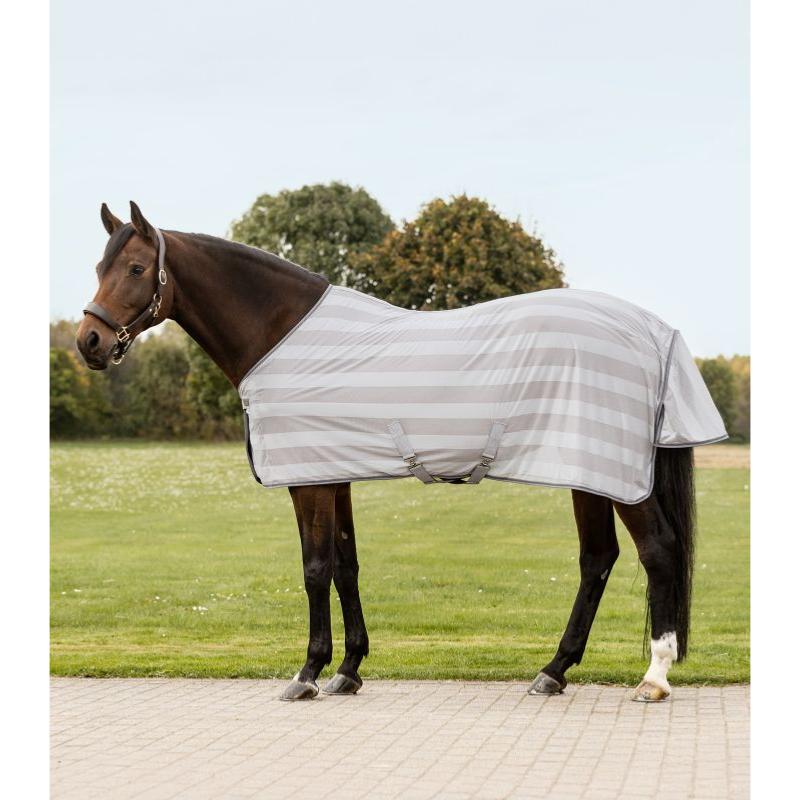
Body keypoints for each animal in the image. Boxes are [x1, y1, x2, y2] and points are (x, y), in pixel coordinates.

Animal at [76, 201, 711, 703]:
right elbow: (346, 566)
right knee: (597, 559)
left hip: (620, 475)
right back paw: (553, 672)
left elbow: (314, 568)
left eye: (136, 268)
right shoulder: (334, 474)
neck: (281, 332)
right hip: (588, 471)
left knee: (657, 551)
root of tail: (655, 332)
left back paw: (654, 678)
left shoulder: (309, 480)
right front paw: (348, 671)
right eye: (100, 267)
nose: (90, 342)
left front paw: (307, 674)